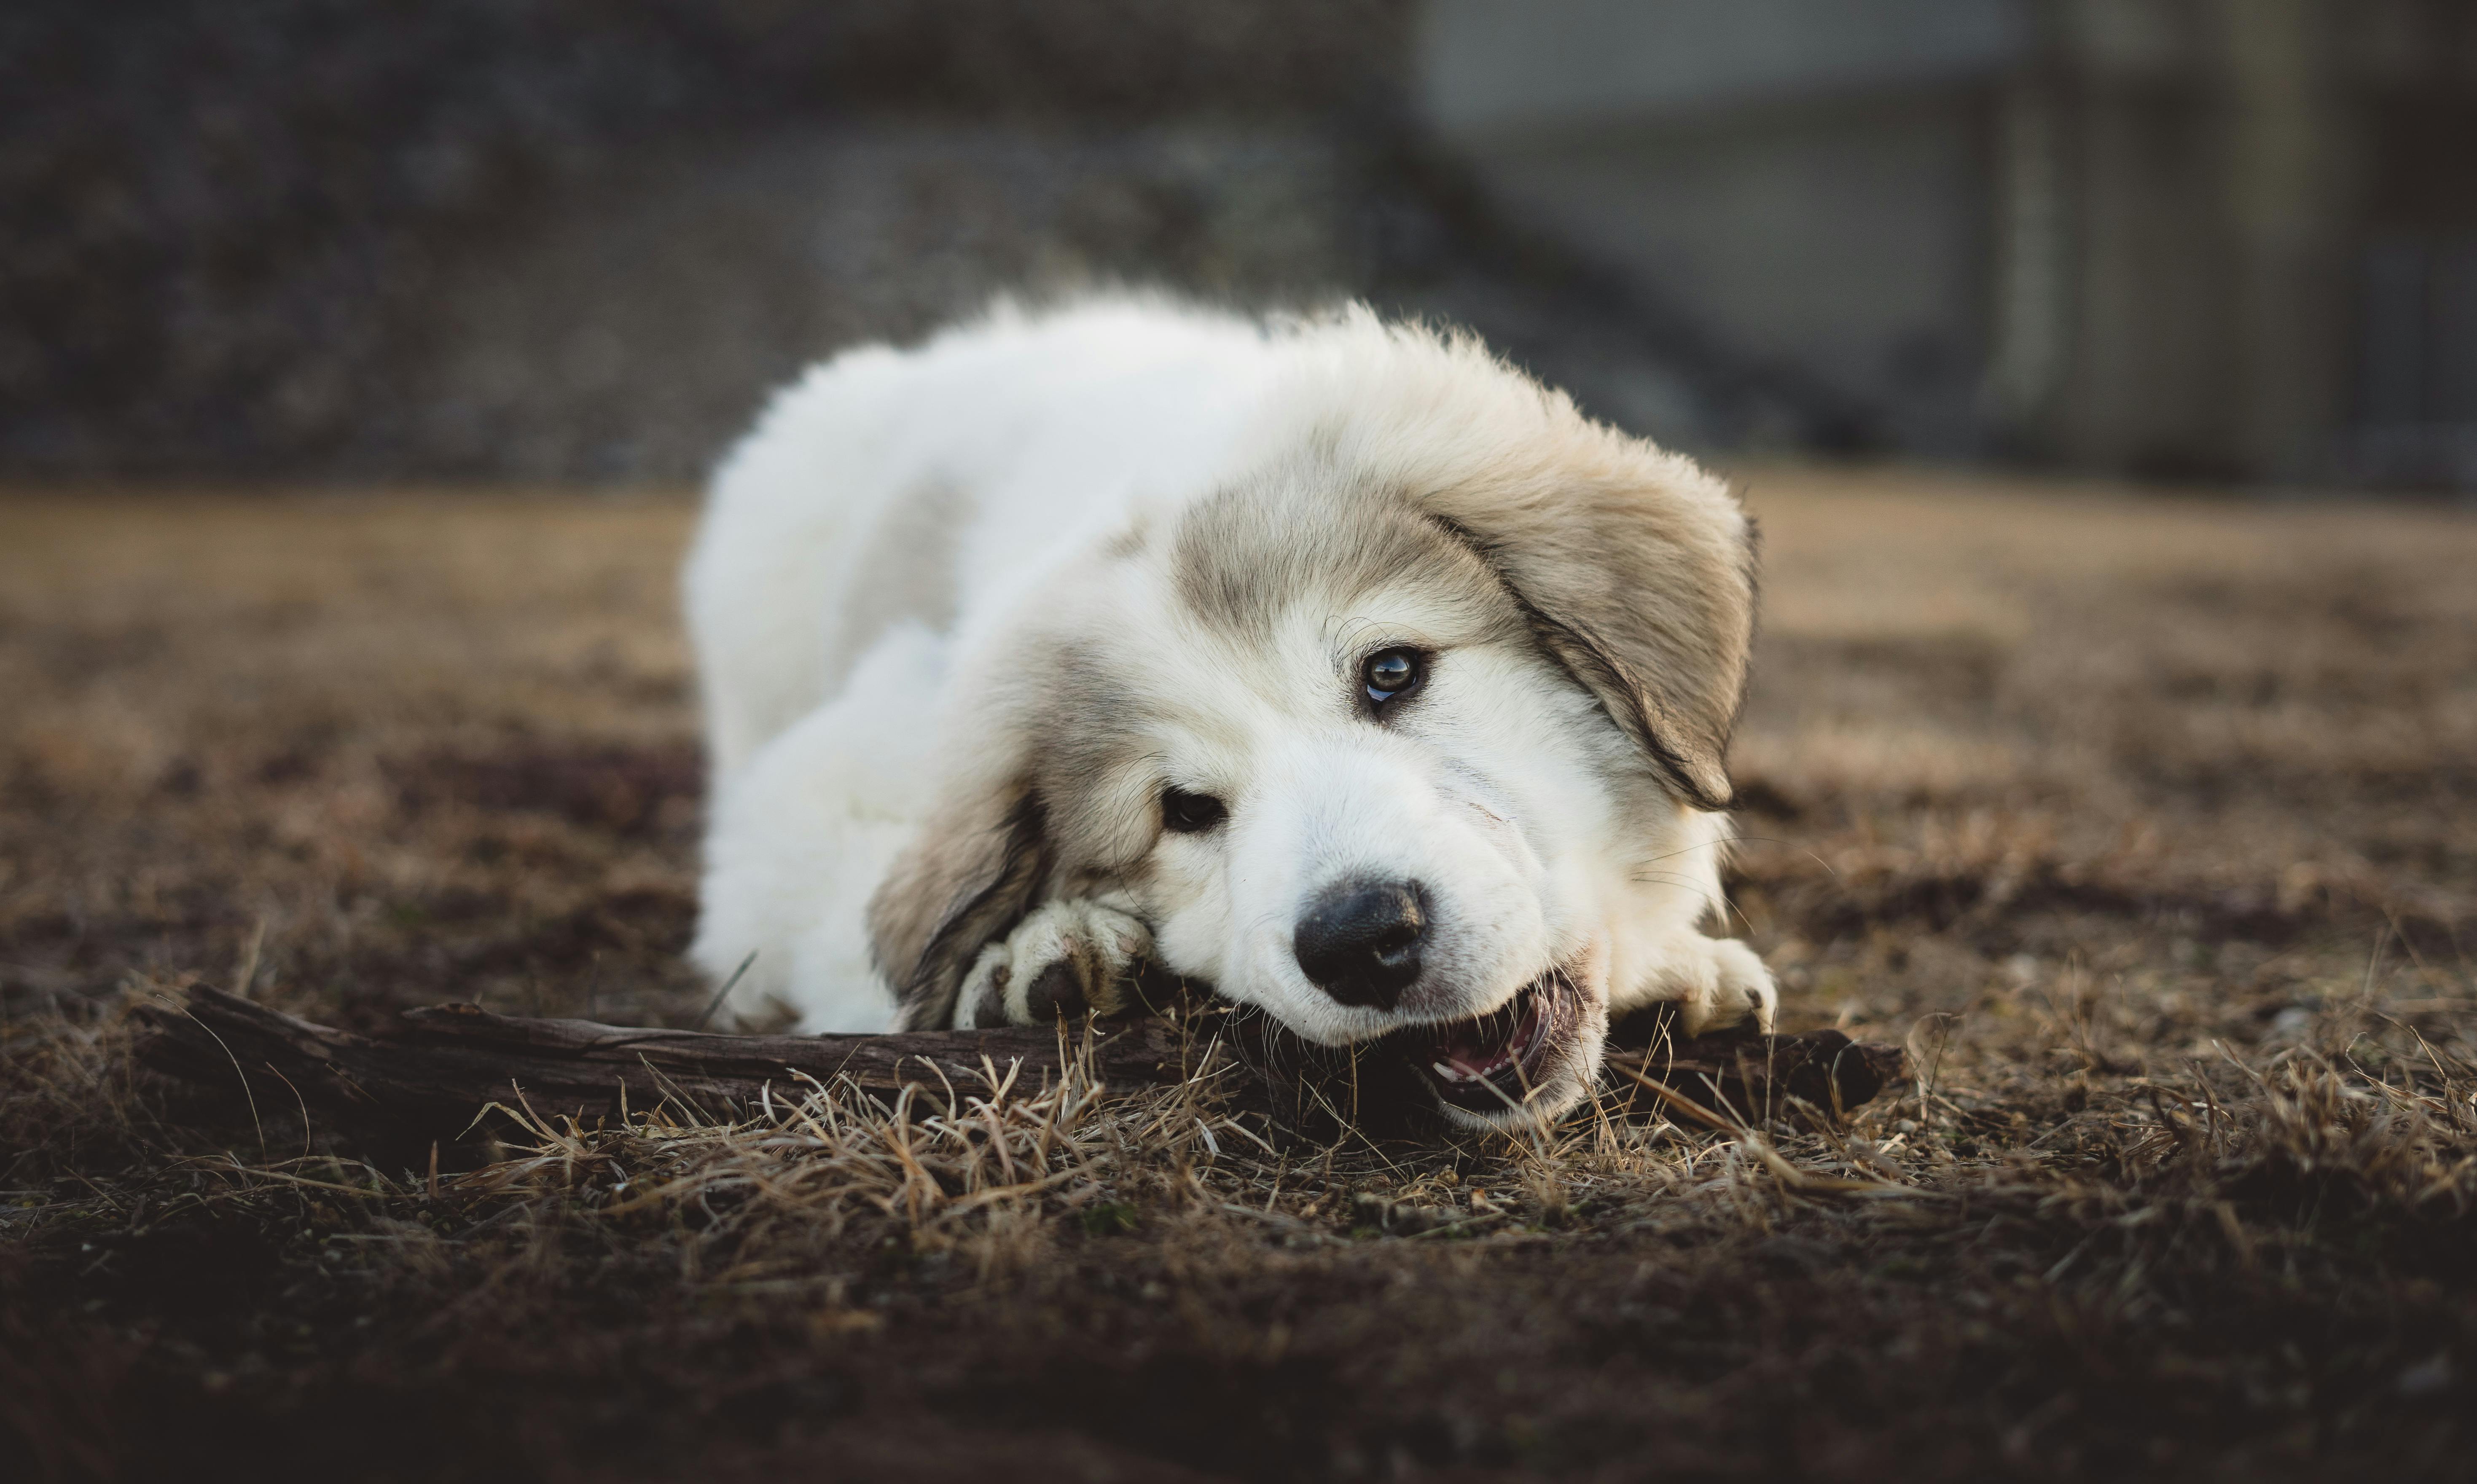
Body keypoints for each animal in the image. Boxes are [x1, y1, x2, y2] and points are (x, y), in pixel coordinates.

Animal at [688, 296, 1773, 1135]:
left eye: (1391, 672)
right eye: (1183, 810)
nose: (1359, 941)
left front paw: (1684, 967)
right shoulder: (820, 778)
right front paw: (1024, 959)